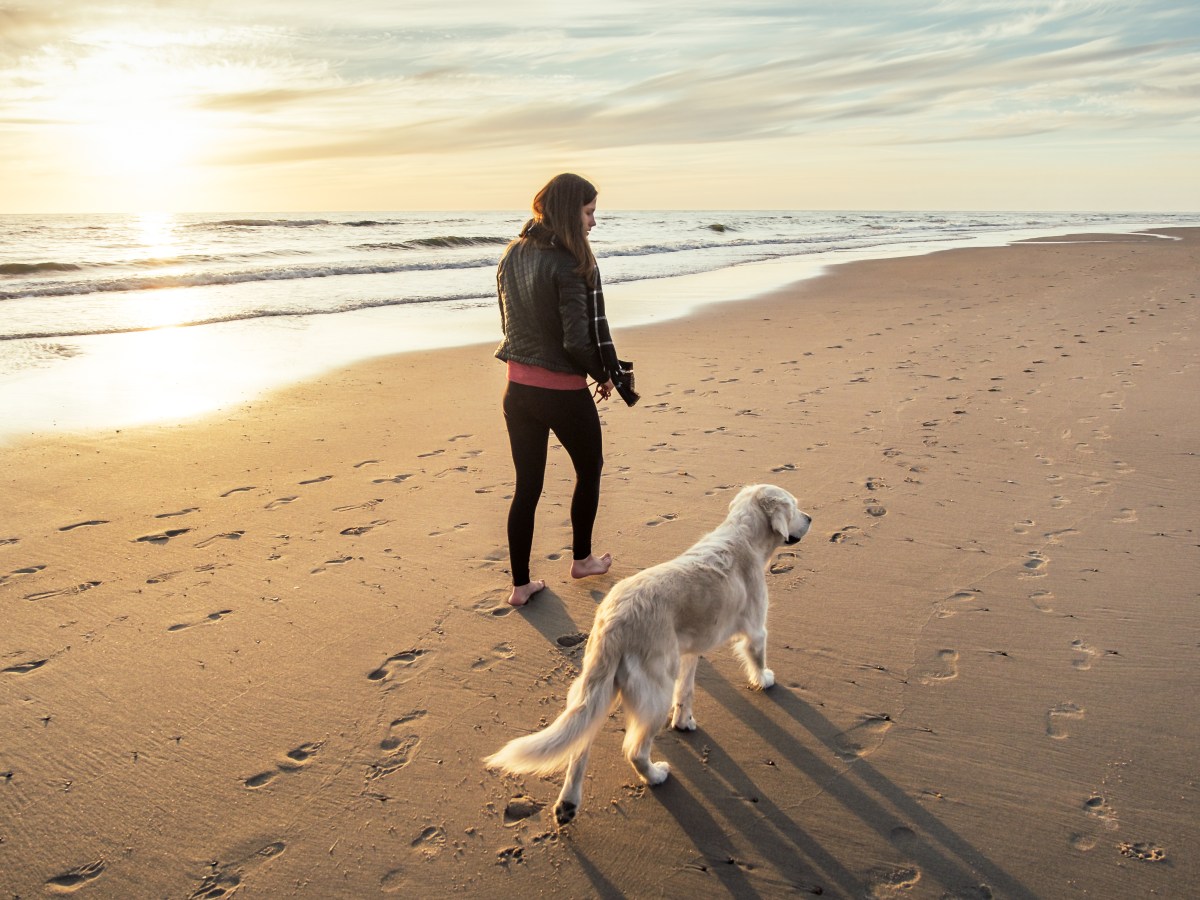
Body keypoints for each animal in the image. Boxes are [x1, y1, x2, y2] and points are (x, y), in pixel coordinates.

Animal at [482, 487, 811, 825]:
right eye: (795, 507)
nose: (810, 519)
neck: (742, 536)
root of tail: (613, 622)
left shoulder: (688, 652)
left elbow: (686, 692)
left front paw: (683, 721)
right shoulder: (756, 628)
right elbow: (758, 656)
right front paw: (765, 679)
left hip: (597, 689)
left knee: (579, 745)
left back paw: (568, 804)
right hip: (653, 692)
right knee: (634, 750)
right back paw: (656, 775)